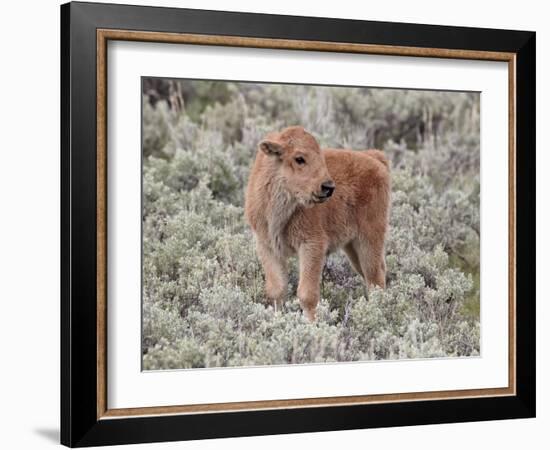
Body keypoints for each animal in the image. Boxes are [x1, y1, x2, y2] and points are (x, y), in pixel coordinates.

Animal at [246, 125, 392, 320]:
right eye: (299, 158)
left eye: (320, 156)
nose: (328, 187)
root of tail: (376, 159)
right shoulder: (267, 247)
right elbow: (277, 289)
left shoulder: (312, 245)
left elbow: (307, 294)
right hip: (352, 247)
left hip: (369, 240)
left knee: (375, 278)